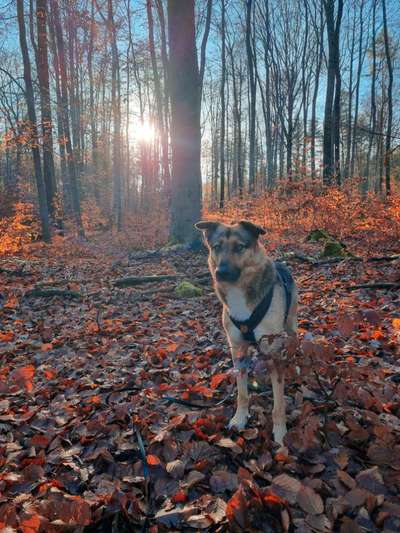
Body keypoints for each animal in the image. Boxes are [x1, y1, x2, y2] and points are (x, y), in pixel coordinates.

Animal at [194, 218, 296, 442]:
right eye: (216, 247)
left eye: (239, 247)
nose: (221, 272)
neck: (239, 291)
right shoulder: (238, 350)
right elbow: (242, 393)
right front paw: (239, 418)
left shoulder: (273, 350)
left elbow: (279, 404)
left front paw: (280, 432)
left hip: (291, 325)